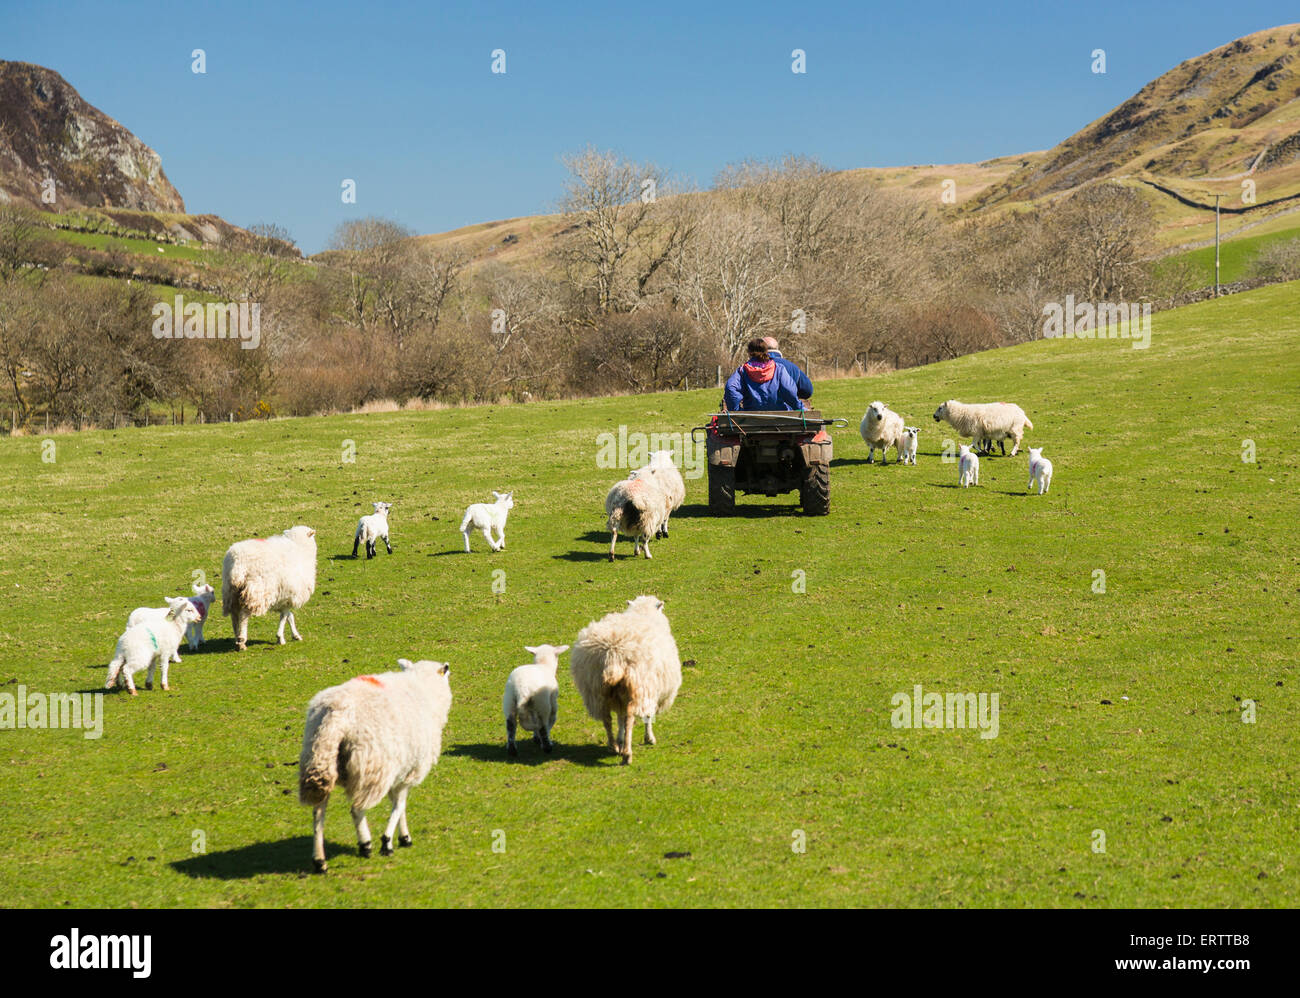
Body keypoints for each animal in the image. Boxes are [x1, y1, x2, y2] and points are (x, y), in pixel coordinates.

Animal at [298, 658, 452, 874]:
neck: (422, 687)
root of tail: (336, 714)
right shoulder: (409, 771)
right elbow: (400, 805)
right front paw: (389, 841)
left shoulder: (398, 771)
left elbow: (398, 803)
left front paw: (402, 837)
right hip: (372, 767)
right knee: (357, 809)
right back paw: (366, 844)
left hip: (319, 757)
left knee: (318, 813)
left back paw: (320, 860)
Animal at [570, 595, 682, 765]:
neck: (642, 614)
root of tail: (613, 655)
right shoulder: (649, 689)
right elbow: (647, 716)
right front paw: (649, 738)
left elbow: (619, 718)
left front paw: (620, 739)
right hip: (637, 686)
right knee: (629, 719)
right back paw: (627, 754)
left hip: (597, 690)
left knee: (607, 718)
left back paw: (613, 746)